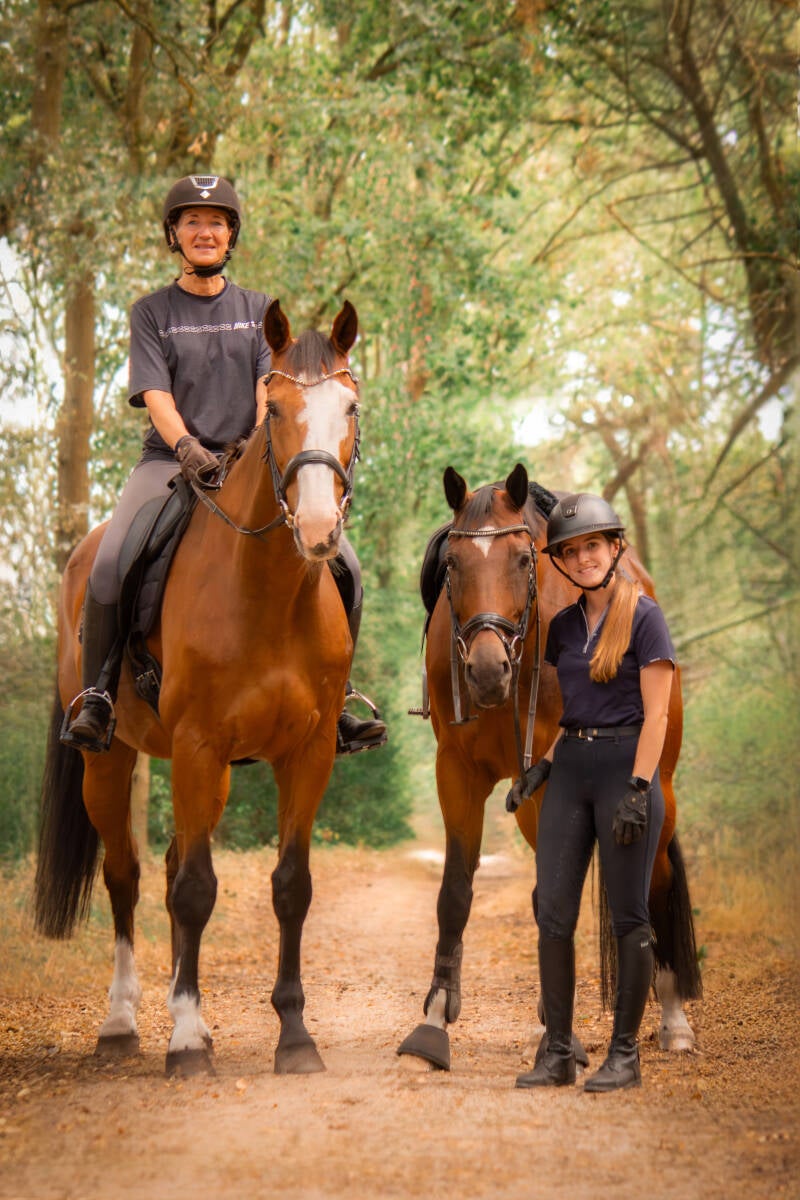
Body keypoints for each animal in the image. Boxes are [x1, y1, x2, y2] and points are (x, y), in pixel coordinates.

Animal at [34, 299, 363, 1076]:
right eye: (275, 410)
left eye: (351, 407)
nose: (317, 529)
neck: (269, 593)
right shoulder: (196, 745)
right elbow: (192, 891)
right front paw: (184, 1042)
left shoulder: (306, 755)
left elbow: (290, 886)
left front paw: (294, 1036)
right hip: (111, 760)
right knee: (127, 875)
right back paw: (123, 1024)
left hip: (208, 775)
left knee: (170, 865)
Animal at [397, 463, 702, 1072]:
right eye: (453, 564)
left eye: (522, 559)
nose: (486, 670)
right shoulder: (458, 773)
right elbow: (457, 893)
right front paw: (435, 1019)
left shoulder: (547, 780)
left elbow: (550, 895)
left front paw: (553, 1029)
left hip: (656, 788)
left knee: (655, 881)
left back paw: (674, 1017)